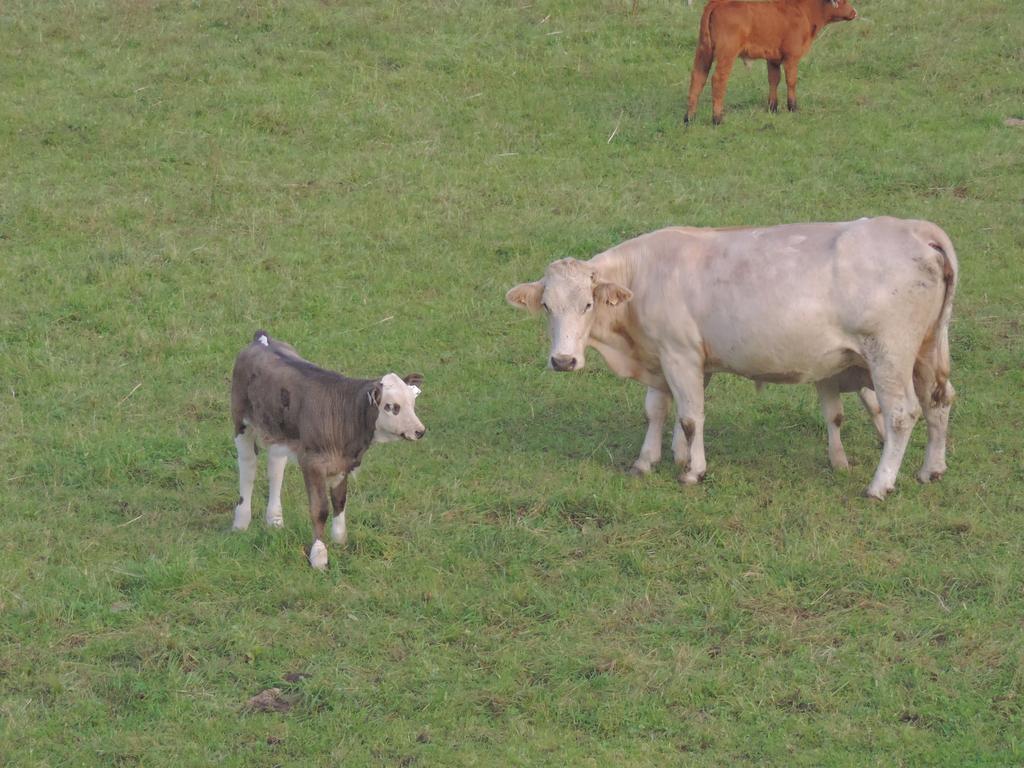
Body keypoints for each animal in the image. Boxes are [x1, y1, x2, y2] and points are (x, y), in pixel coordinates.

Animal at [231, 331, 423, 573]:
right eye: (392, 407)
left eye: (412, 403)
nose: (420, 431)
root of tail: (261, 339)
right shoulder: (312, 462)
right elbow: (320, 509)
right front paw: (319, 556)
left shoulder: (342, 463)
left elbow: (340, 502)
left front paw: (340, 540)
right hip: (240, 421)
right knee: (248, 466)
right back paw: (241, 522)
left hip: (279, 431)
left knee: (276, 467)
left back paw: (274, 520)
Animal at [507, 219, 954, 501]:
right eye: (546, 306)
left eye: (587, 304)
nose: (563, 360)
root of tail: (916, 228)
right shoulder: (665, 357)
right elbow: (658, 410)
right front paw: (651, 459)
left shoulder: (679, 353)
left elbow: (691, 416)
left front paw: (692, 470)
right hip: (928, 351)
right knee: (939, 402)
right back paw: (931, 470)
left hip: (889, 354)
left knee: (901, 413)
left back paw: (880, 485)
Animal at [684, 0, 860, 124]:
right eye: (842, 1)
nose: (854, 12)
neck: (804, 11)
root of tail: (718, 3)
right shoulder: (791, 57)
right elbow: (791, 81)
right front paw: (792, 107)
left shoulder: (773, 59)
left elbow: (774, 80)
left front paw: (773, 108)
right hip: (726, 54)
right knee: (718, 80)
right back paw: (717, 119)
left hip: (703, 52)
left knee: (697, 79)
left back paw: (689, 118)